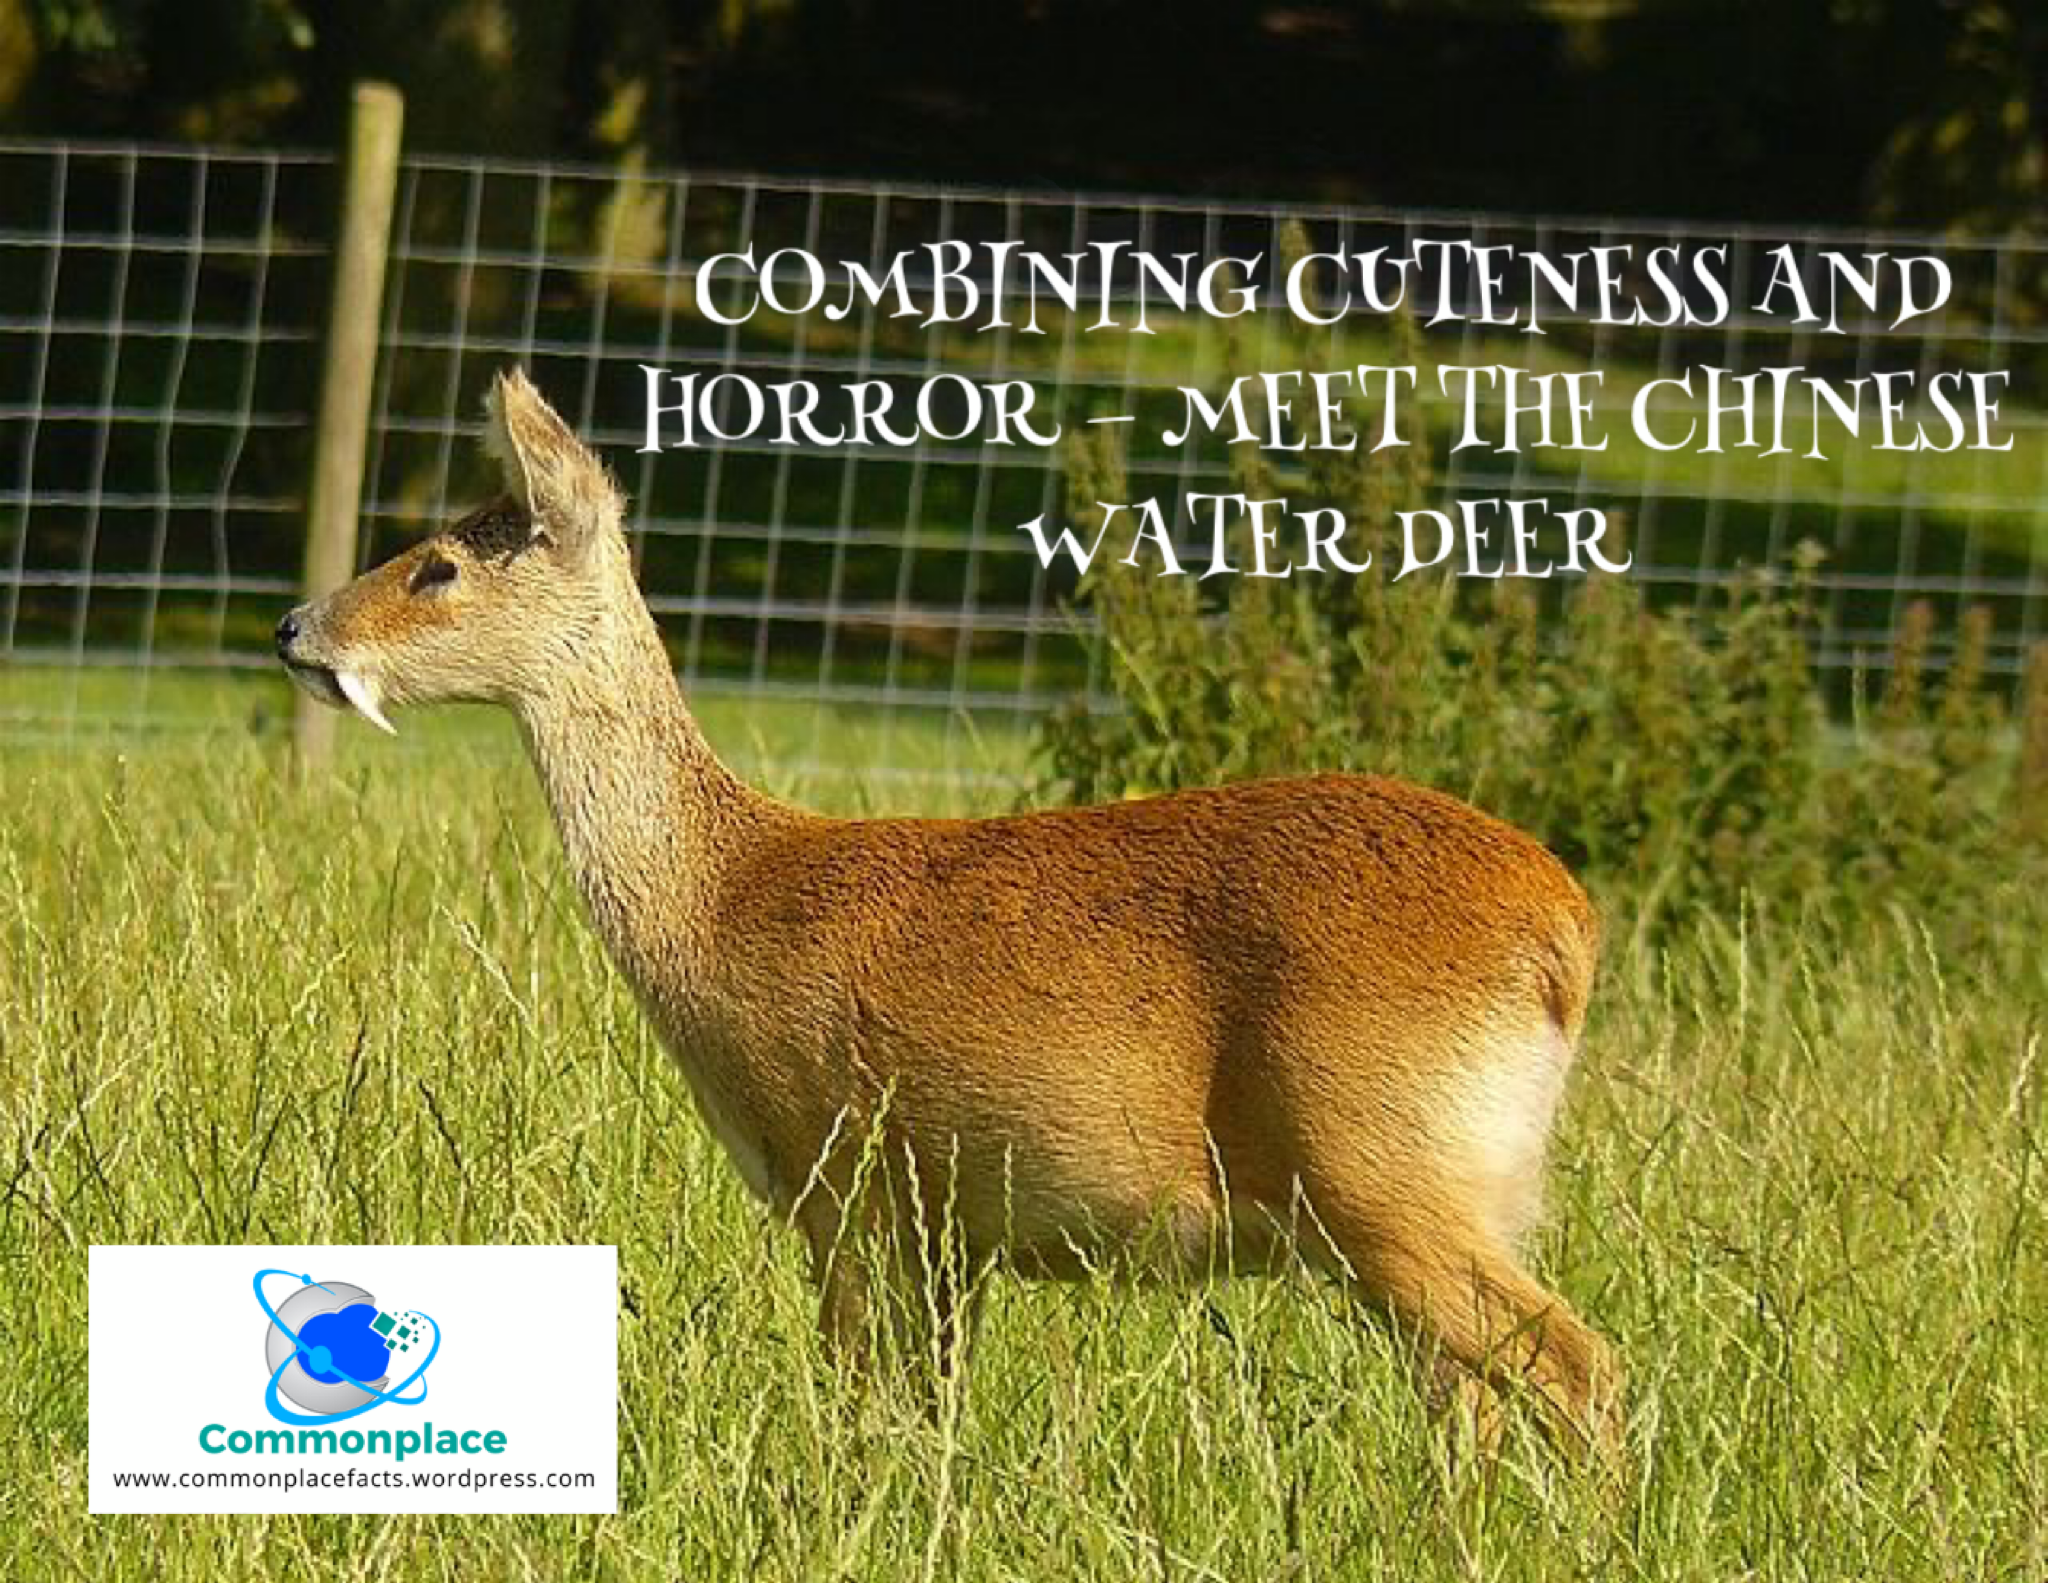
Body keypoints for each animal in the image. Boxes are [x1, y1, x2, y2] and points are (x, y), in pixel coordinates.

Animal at [275, 368, 1622, 1459]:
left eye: (439, 566)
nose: (295, 627)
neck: (722, 900)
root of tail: (1562, 931)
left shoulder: (842, 1177)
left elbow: (856, 1404)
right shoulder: (943, 1228)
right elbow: (931, 1410)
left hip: (1379, 1166)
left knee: (1581, 1370)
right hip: (1436, 1196)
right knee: (1474, 1400)